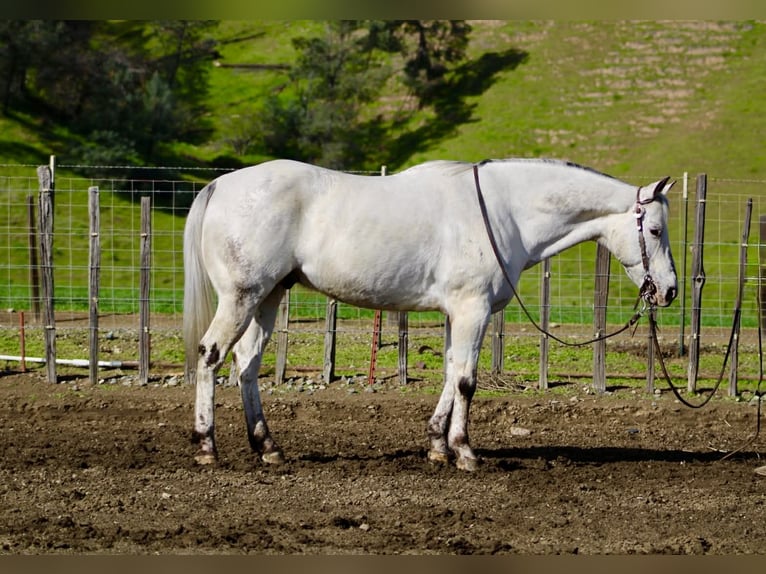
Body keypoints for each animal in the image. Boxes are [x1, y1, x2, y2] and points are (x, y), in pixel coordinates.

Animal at [183, 158, 677, 471]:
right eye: (654, 230)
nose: (669, 289)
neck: (504, 212)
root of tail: (221, 185)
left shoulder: (458, 313)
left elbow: (451, 372)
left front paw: (438, 445)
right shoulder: (473, 308)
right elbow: (467, 381)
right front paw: (464, 452)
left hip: (266, 299)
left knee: (246, 366)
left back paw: (267, 447)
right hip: (241, 297)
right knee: (210, 355)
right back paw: (207, 447)